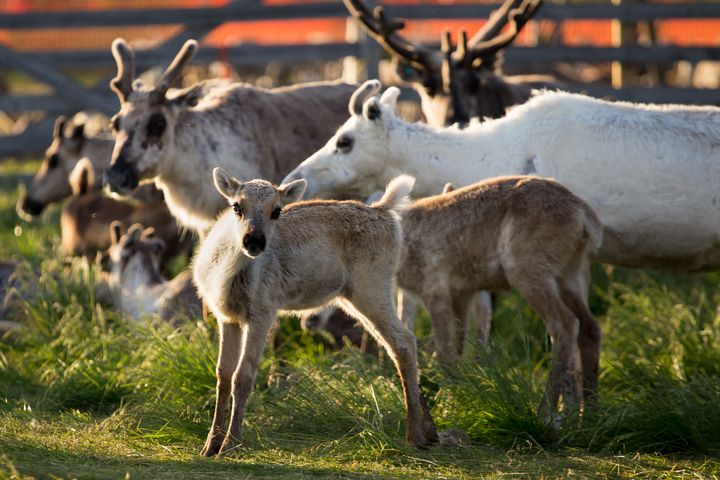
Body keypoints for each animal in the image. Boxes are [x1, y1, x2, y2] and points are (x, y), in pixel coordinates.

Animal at [396, 176, 604, 420]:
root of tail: (583, 215)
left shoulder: (435, 290)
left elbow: (445, 354)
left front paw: (448, 410)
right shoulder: (461, 294)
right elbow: (458, 348)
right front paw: (457, 402)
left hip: (527, 270)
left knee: (565, 324)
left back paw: (544, 414)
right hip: (570, 276)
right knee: (591, 327)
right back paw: (590, 414)